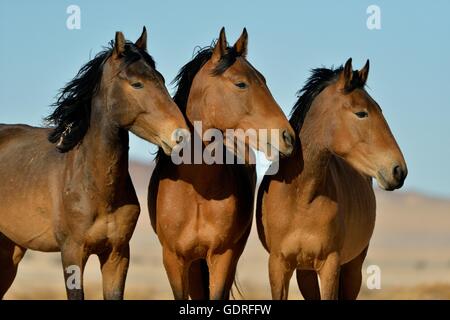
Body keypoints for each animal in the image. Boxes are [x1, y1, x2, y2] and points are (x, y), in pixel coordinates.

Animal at [0, 28, 188, 300]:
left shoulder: (117, 254)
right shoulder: (72, 253)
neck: (94, 187)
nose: (181, 135)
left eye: (162, 80)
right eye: (137, 83)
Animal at [148, 27, 296, 300]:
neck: (196, 188)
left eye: (264, 80)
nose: (287, 136)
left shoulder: (221, 256)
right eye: (241, 83)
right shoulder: (174, 259)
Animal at [256, 58, 408, 300]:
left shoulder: (330, 265)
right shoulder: (278, 265)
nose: (398, 170)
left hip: (353, 267)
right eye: (361, 113)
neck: (301, 196)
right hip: (305, 272)